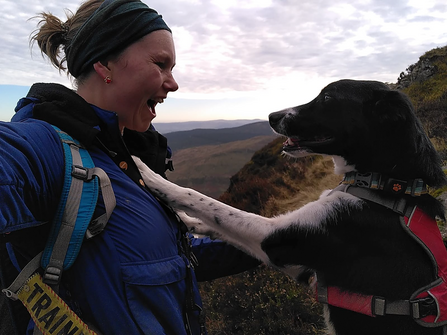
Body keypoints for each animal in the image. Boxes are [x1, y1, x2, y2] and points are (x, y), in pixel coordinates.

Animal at [135, 80, 447, 334]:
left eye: (327, 98)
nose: (272, 116)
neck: (382, 184)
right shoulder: (304, 269)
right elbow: (217, 223)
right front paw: (190, 223)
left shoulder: (277, 239)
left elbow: (209, 204)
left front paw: (147, 174)